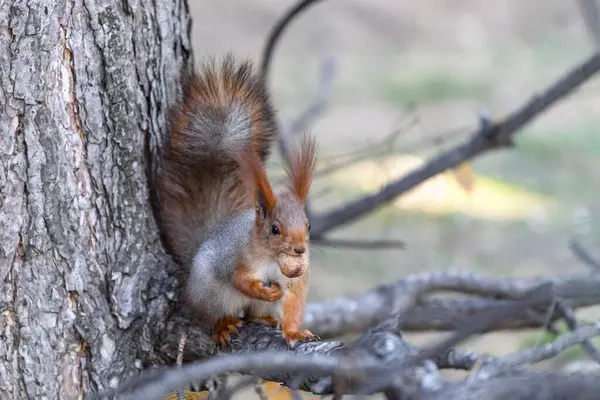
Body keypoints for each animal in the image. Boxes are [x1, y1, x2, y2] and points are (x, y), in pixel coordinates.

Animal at [157, 54, 322, 348]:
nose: (300, 250)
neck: (272, 258)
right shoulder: (234, 256)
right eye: (275, 228)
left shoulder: (295, 281)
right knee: (210, 315)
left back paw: (265, 319)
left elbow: (293, 303)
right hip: (212, 294)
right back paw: (223, 325)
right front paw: (260, 289)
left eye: (308, 225)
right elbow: (238, 280)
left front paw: (295, 332)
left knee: (254, 314)